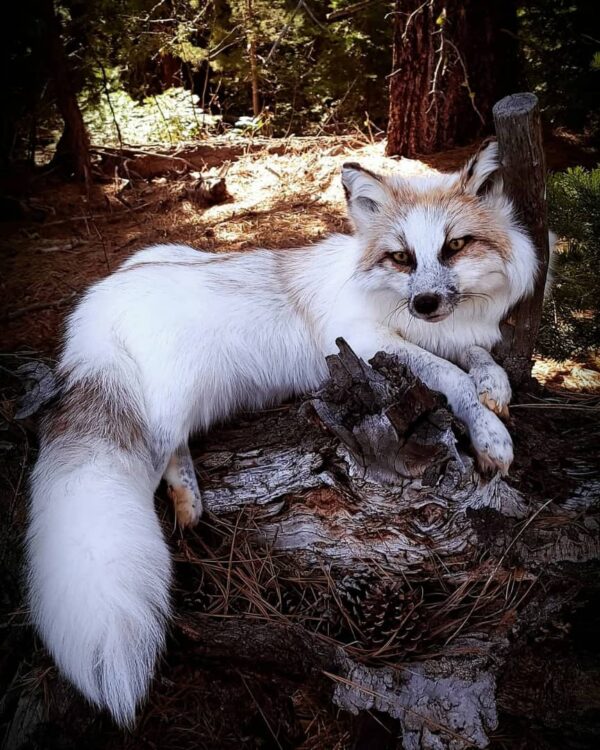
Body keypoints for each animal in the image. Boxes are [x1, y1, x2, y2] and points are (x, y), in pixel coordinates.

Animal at [26, 140, 538, 726]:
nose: (425, 304)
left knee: (175, 450)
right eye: (402, 257)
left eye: (455, 246)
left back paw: (190, 503)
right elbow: (452, 377)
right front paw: (492, 436)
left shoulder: (450, 336)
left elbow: (478, 361)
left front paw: (495, 394)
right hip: (161, 404)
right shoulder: (363, 339)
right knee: (153, 461)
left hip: (188, 400)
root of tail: (93, 308)